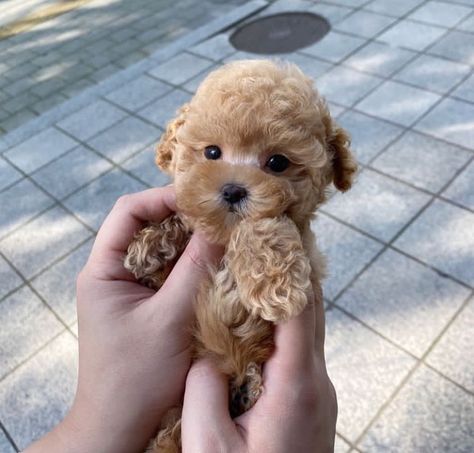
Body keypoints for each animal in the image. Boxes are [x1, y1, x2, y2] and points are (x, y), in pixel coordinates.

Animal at [124, 58, 358, 450]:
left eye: (277, 162)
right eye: (211, 152)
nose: (233, 190)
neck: (224, 236)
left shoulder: (304, 247)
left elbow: (262, 227)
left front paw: (275, 287)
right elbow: (181, 222)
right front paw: (149, 245)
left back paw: (246, 385)